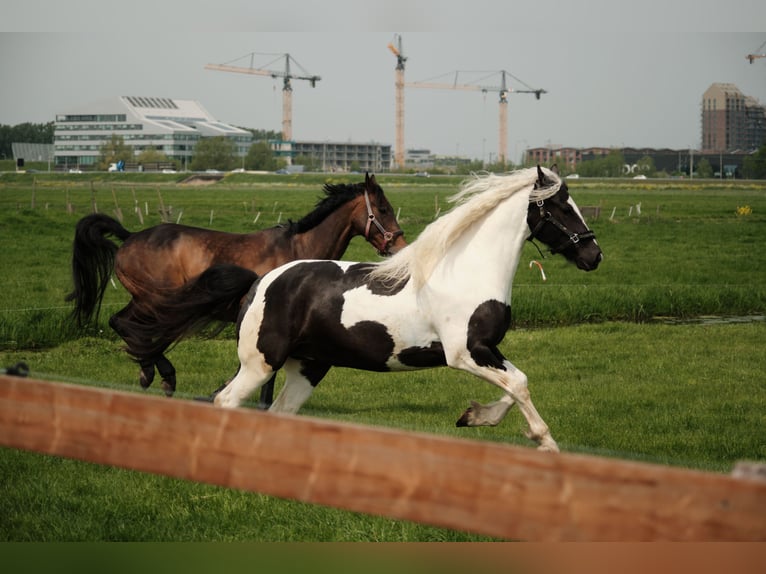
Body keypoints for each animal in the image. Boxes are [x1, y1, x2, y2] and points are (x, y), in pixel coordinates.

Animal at [66, 173, 406, 399]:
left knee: (125, 324)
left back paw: (151, 371)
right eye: (384, 209)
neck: (298, 250)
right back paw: (159, 374)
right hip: (153, 301)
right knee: (125, 324)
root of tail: (130, 237)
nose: (399, 245)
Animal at [123, 166, 601, 451]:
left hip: (308, 366)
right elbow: (519, 384)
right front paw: (545, 444)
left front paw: (473, 416)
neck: (463, 269)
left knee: (278, 412)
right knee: (226, 400)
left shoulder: (484, 351)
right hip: (261, 364)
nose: (593, 256)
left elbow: (515, 385)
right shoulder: (465, 352)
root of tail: (261, 282)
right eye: (561, 207)